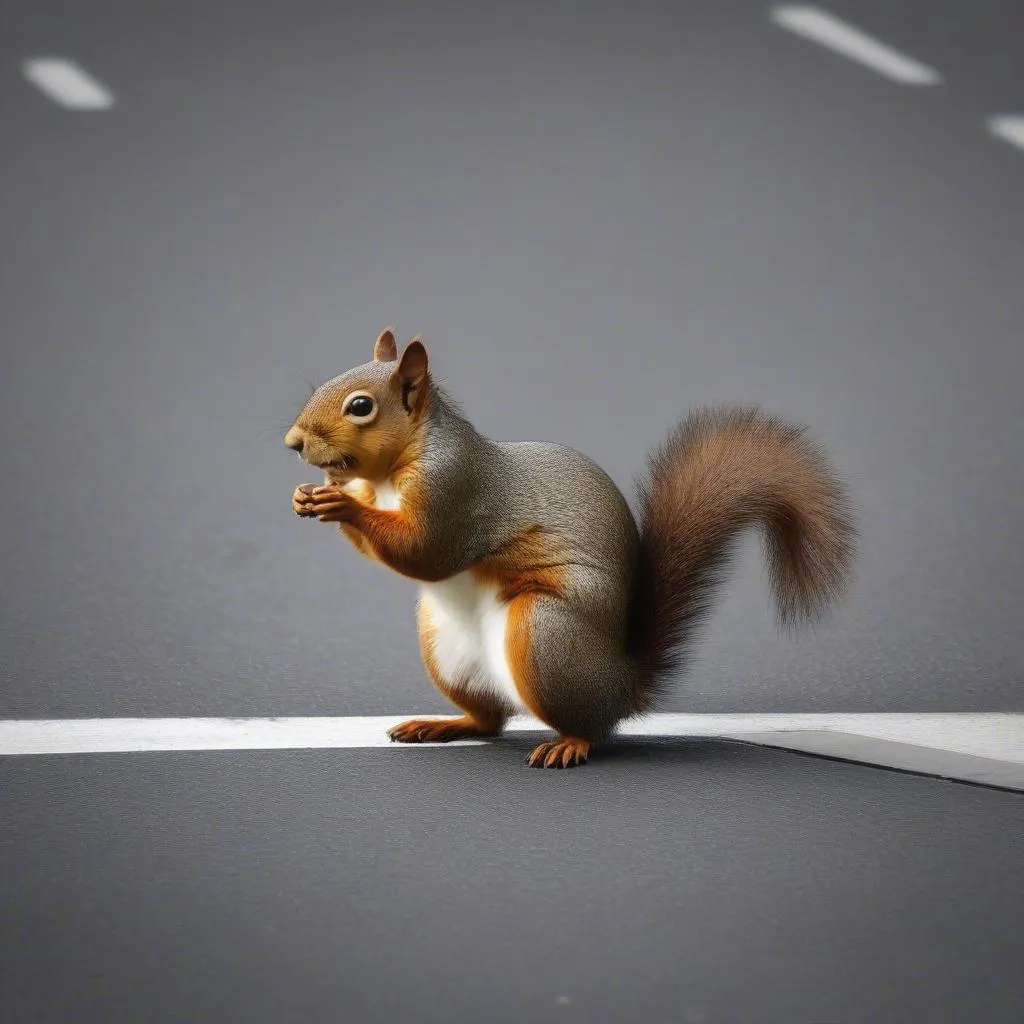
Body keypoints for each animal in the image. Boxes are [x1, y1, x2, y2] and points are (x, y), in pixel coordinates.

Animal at [286, 327, 856, 770]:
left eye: (361, 406)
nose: (293, 442)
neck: (391, 472)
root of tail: (620, 686)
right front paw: (311, 494)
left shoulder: (456, 491)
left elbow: (427, 551)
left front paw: (342, 503)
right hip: (443, 645)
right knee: (489, 721)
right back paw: (443, 723)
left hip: (546, 633)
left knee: (589, 728)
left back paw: (569, 744)